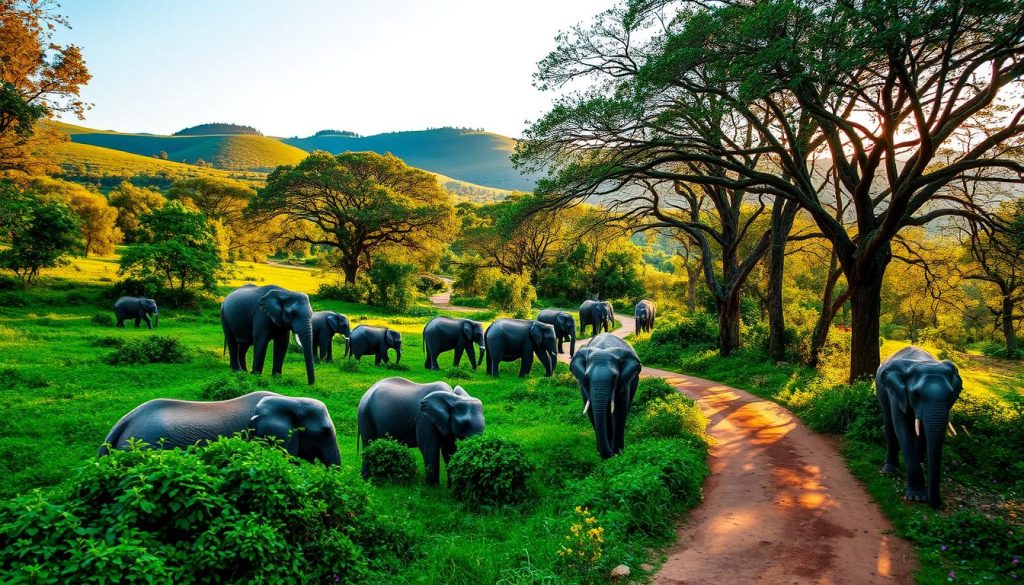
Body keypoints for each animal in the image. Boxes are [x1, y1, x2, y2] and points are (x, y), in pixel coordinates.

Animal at [876, 346, 962, 508]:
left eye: (950, 395)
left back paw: (921, 462)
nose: (937, 504)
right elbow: (902, 429)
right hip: (881, 389)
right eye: (915, 394)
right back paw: (889, 470)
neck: (923, 362)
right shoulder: (897, 393)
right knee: (889, 425)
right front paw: (917, 497)